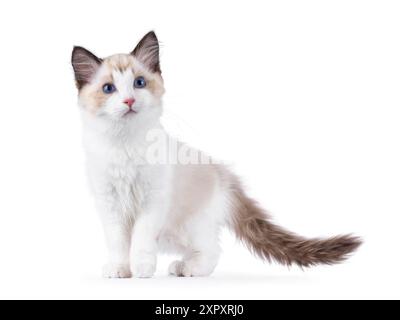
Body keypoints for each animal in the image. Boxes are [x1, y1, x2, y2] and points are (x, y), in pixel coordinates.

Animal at [70, 31, 360, 278]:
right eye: (109, 89)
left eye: (138, 83)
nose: (129, 101)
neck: (125, 144)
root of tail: (223, 173)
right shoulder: (109, 203)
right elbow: (118, 242)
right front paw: (120, 269)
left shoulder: (153, 200)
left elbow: (141, 238)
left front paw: (142, 268)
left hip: (188, 225)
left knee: (211, 252)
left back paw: (187, 269)